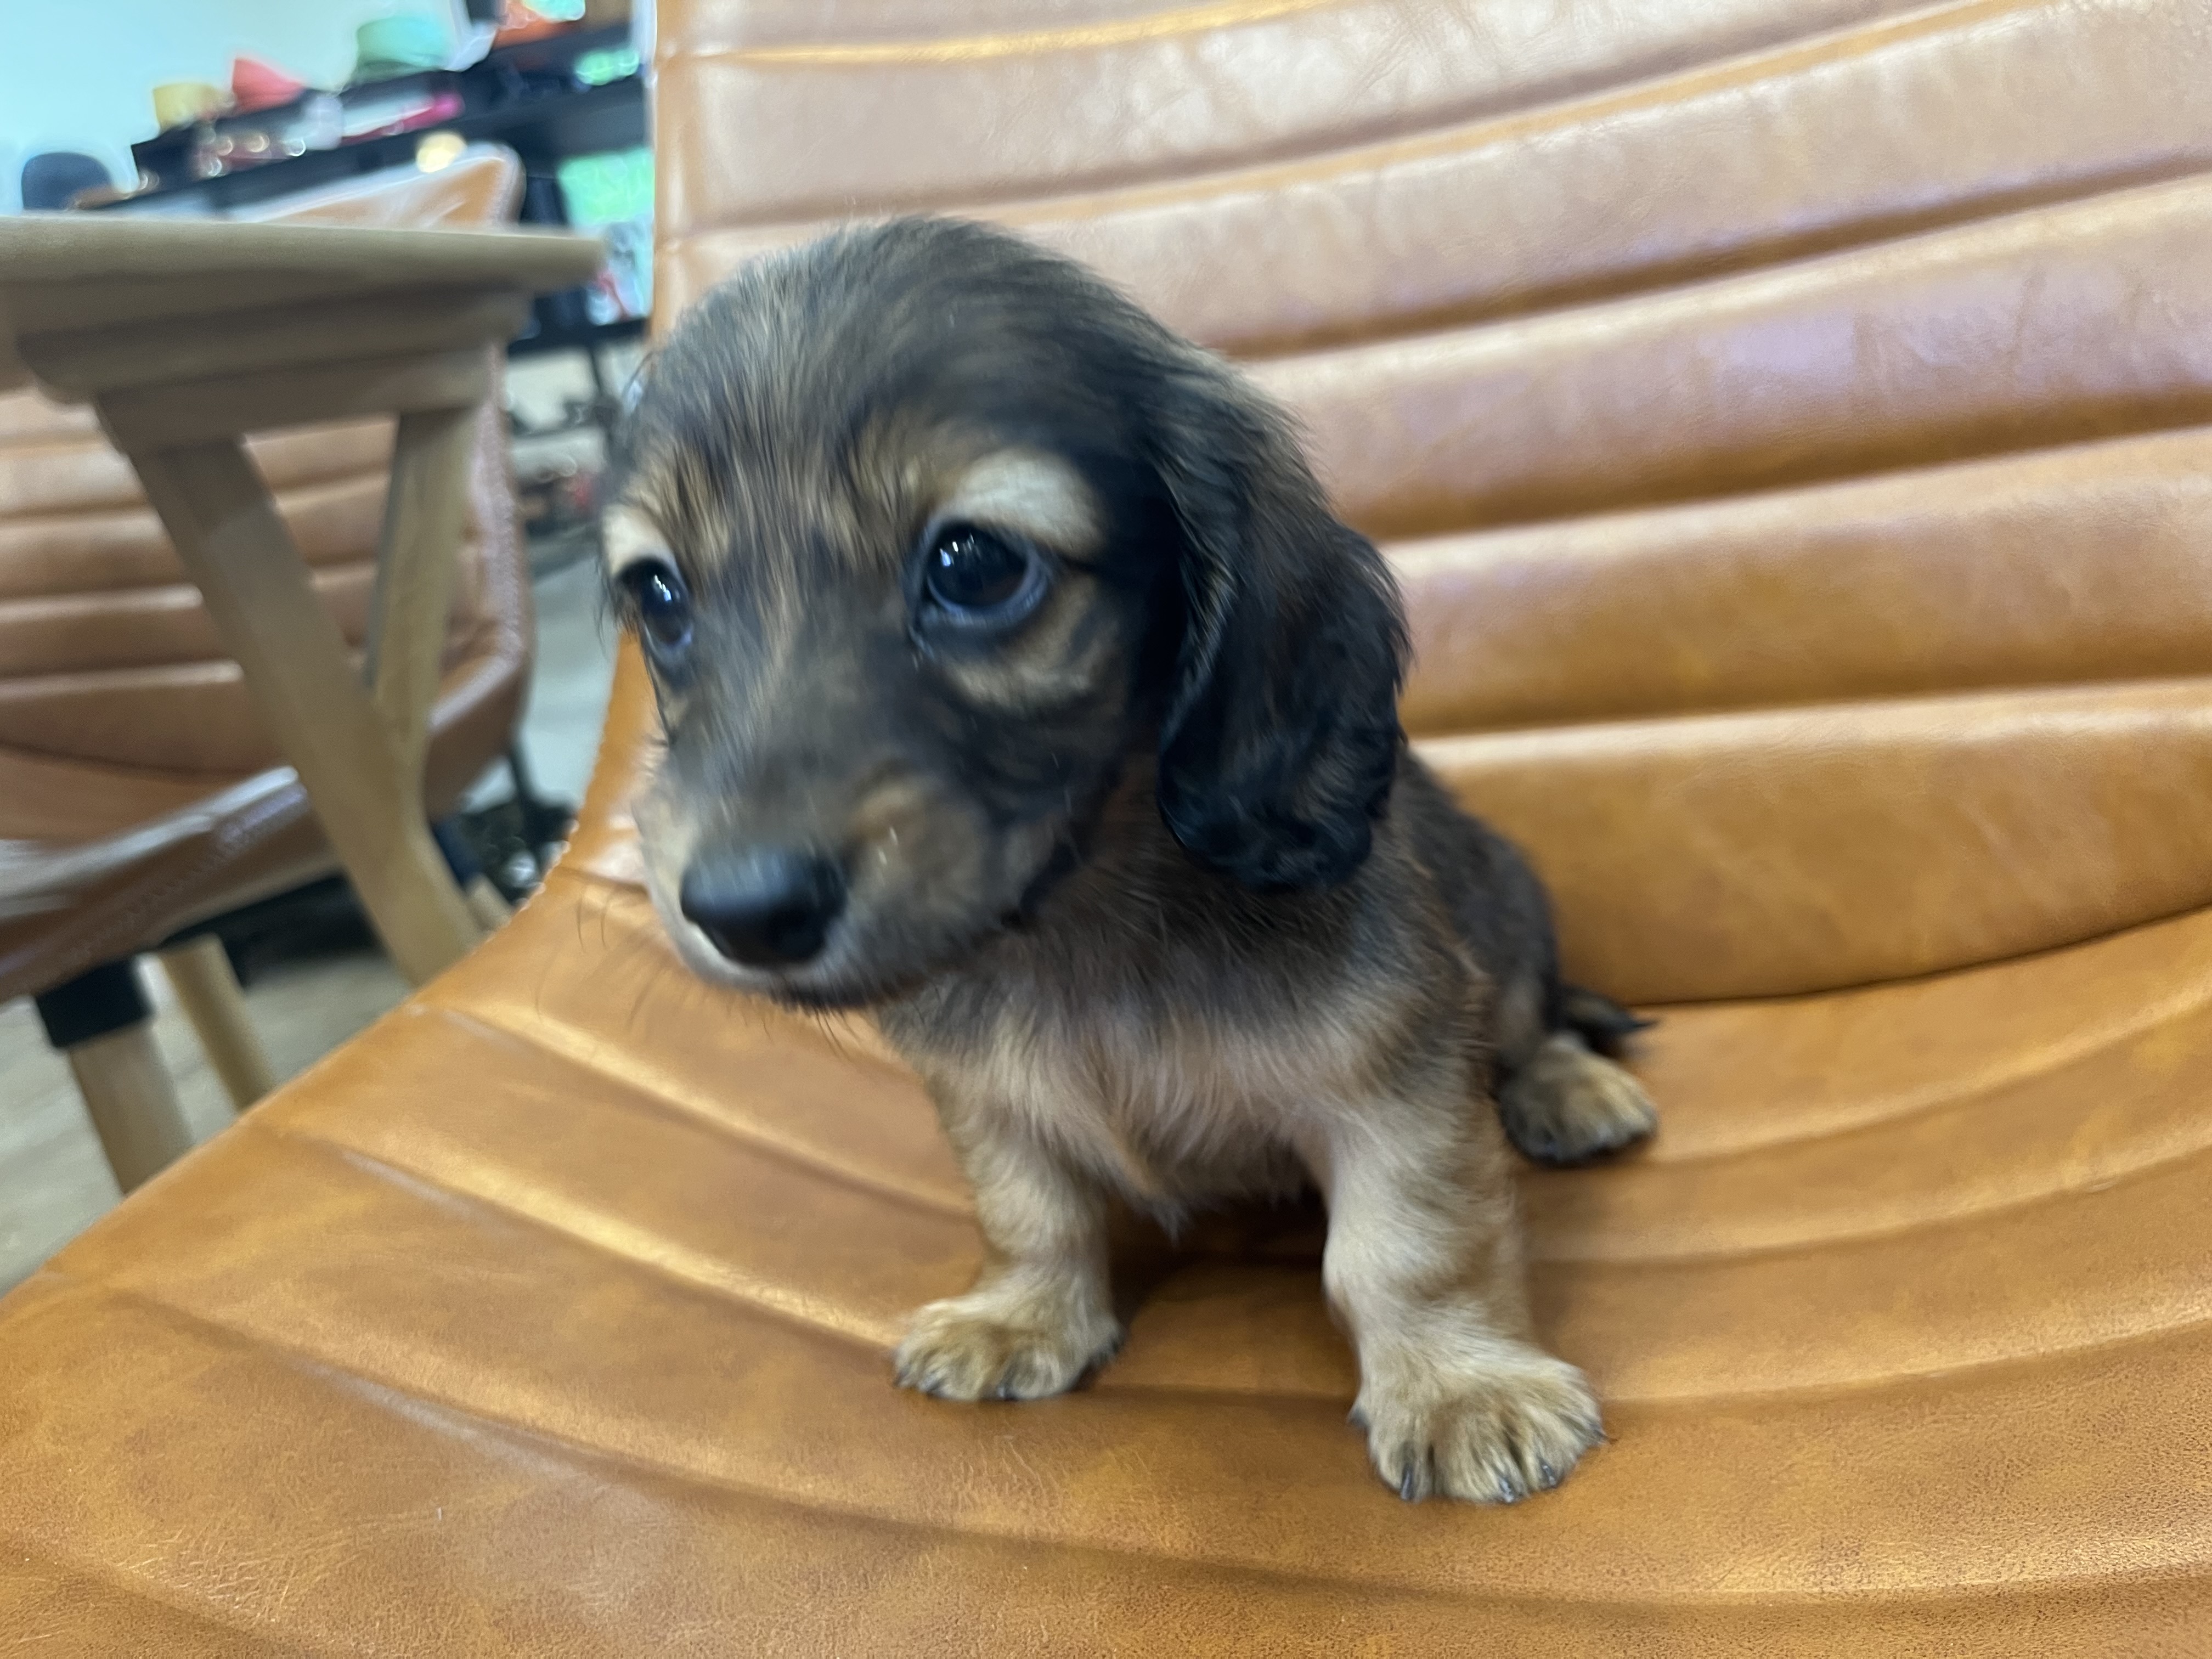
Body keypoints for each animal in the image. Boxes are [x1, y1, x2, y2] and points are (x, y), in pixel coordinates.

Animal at [605, 218, 1658, 1504]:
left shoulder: (1394, 1072)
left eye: (973, 564)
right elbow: (1031, 1209)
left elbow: (1407, 1243)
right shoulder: (986, 1097)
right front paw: (1021, 1315)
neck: (1081, 932)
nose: (741, 911)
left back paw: (1570, 1089)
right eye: (657, 594)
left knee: (1534, 1024)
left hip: (1501, 943)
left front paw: (1462, 1383)